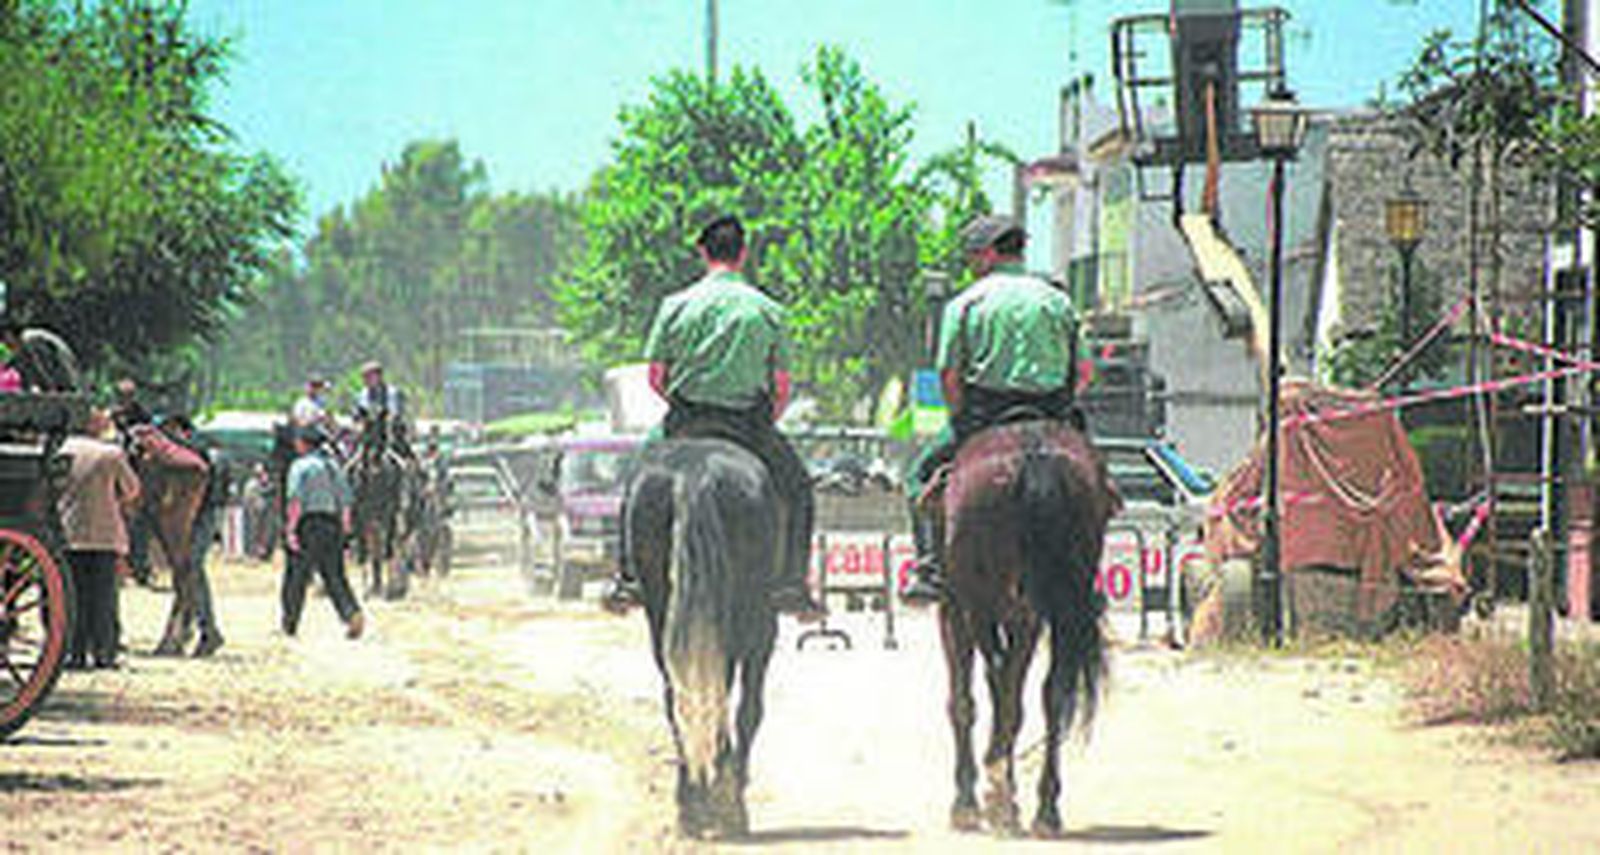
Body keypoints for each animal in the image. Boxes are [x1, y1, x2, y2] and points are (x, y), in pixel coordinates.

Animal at [624, 437, 781, 840]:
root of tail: (694, 473)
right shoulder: (763, 633)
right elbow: (749, 709)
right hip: (750, 619)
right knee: (727, 699)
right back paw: (725, 802)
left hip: (662, 613)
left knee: (676, 697)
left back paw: (691, 803)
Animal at [937, 419, 1118, 837]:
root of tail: (1035, 452)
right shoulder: (1026, 621)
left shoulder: (955, 613)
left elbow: (964, 701)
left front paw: (969, 802)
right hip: (1055, 611)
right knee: (1051, 694)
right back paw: (1045, 809)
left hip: (980, 607)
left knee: (996, 684)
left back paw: (999, 791)